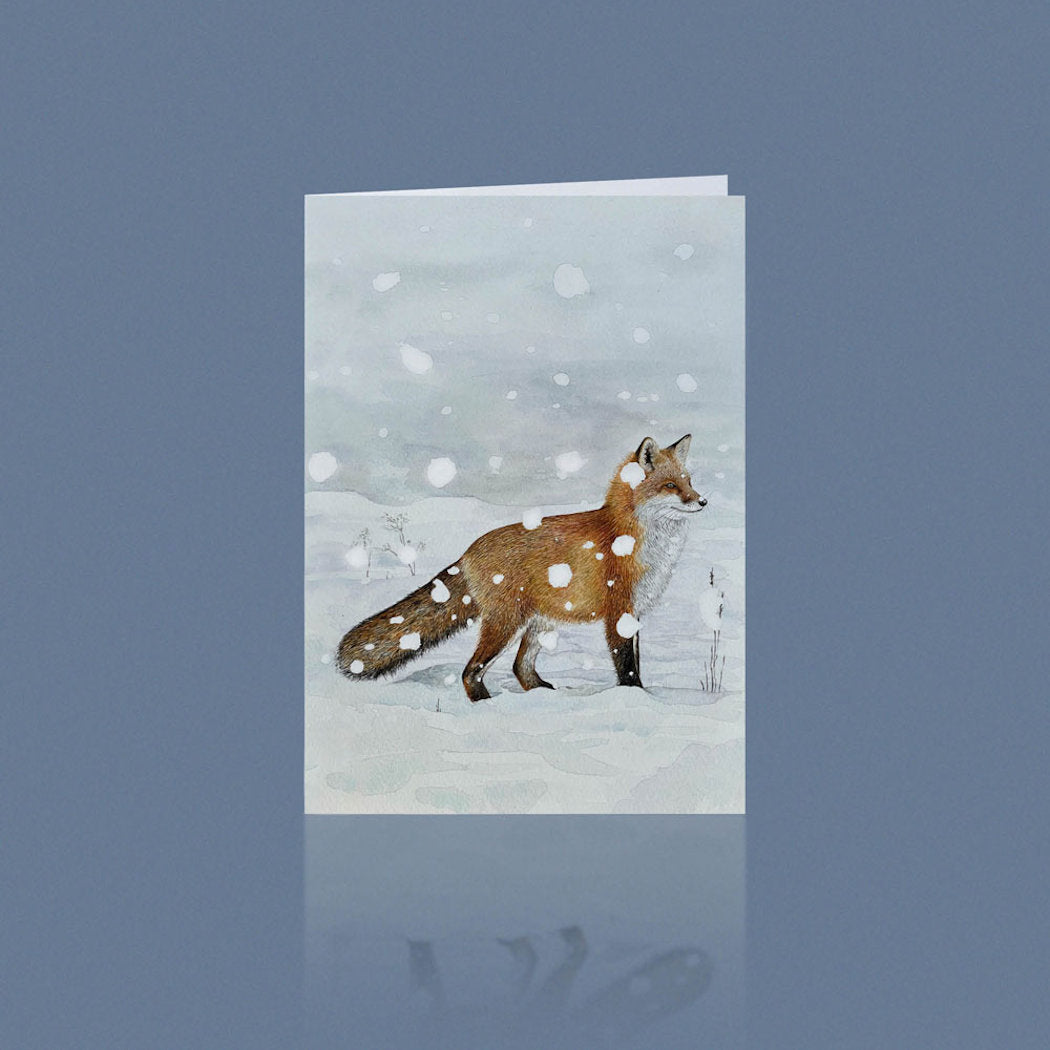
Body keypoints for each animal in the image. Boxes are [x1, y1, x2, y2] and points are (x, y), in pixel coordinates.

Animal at [336, 434, 705, 701]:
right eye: (671, 486)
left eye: (689, 481)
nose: (703, 501)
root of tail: (467, 552)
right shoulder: (619, 611)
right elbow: (627, 667)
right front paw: (636, 702)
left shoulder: (635, 613)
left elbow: (636, 662)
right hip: (506, 623)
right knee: (471, 671)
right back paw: (486, 705)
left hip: (539, 623)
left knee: (519, 667)